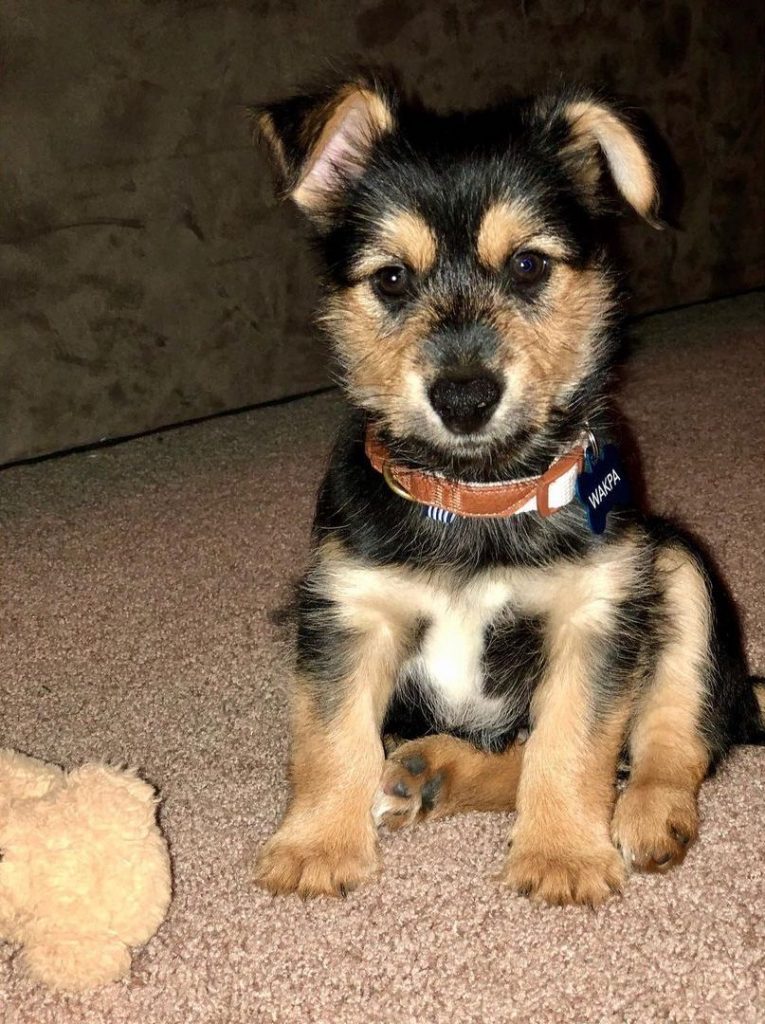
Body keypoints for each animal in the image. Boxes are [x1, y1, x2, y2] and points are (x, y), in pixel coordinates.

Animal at [249, 74, 761, 905]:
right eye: (391, 278)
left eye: (526, 266)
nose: (463, 398)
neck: (477, 494)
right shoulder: (349, 607)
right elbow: (331, 738)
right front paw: (317, 843)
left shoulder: (596, 610)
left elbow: (573, 743)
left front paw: (562, 855)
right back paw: (430, 771)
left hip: (675, 565)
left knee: (671, 737)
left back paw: (649, 814)